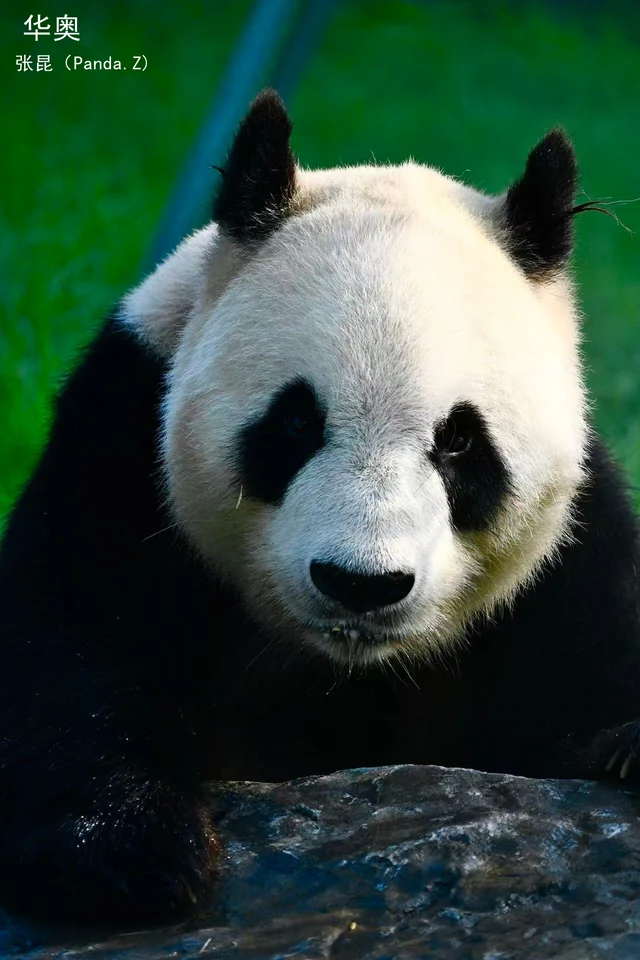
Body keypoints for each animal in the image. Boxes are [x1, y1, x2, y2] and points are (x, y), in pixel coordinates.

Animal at [1, 88, 639, 925]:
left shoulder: (572, 549)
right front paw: (132, 849)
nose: (362, 585)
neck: (341, 669)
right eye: (297, 422)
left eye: (460, 442)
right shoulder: (121, 432)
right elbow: (70, 636)